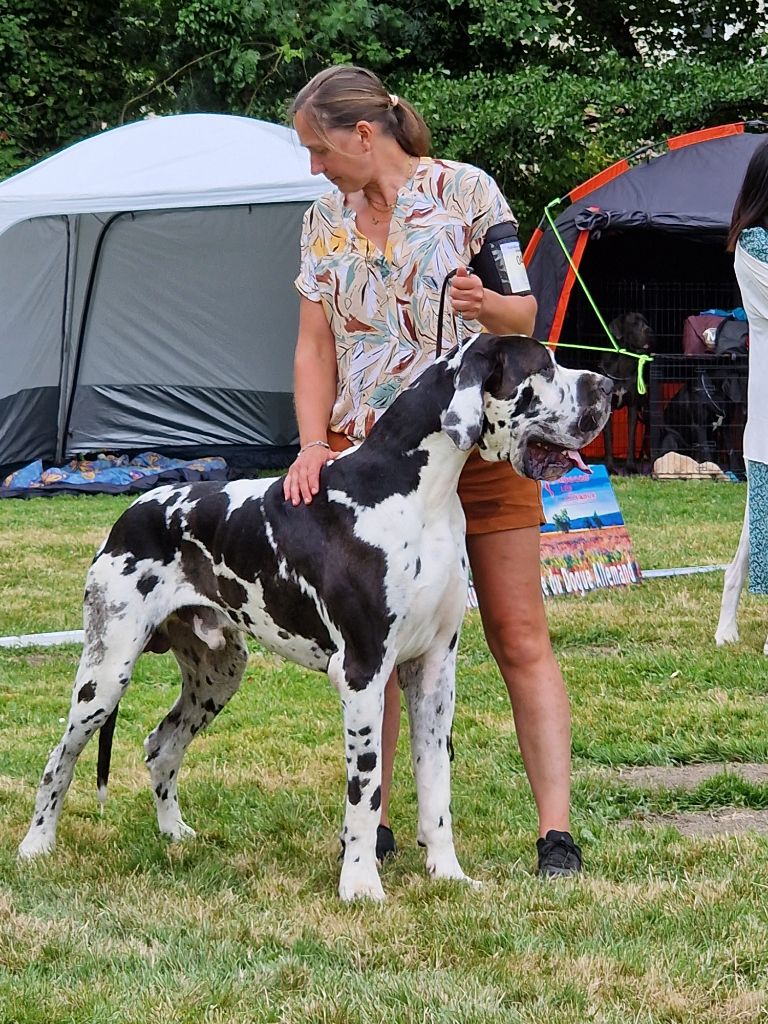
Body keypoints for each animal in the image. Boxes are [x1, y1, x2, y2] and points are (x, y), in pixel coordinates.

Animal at [602, 313, 655, 473]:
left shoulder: (633, 407)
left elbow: (631, 437)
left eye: (646, 322)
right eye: (634, 323)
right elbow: (609, 439)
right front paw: (610, 467)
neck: (623, 361)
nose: (650, 330)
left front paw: (631, 467)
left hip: (645, 410)